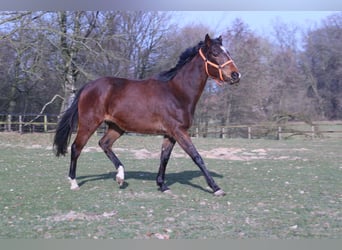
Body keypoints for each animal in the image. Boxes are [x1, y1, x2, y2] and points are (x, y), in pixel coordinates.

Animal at [52, 34, 240, 196]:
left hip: (117, 127)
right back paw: (74, 182)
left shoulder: (170, 134)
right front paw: (216, 188)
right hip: (89, 124)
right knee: (76, 147)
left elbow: (164, 157)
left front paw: (162, 185)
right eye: (215, 53)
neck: (177, 93)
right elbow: (197, 157)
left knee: (104, 144)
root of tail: (88, 87)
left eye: (228, 52)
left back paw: (120, 176)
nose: (236, 75)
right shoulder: (179, 131)